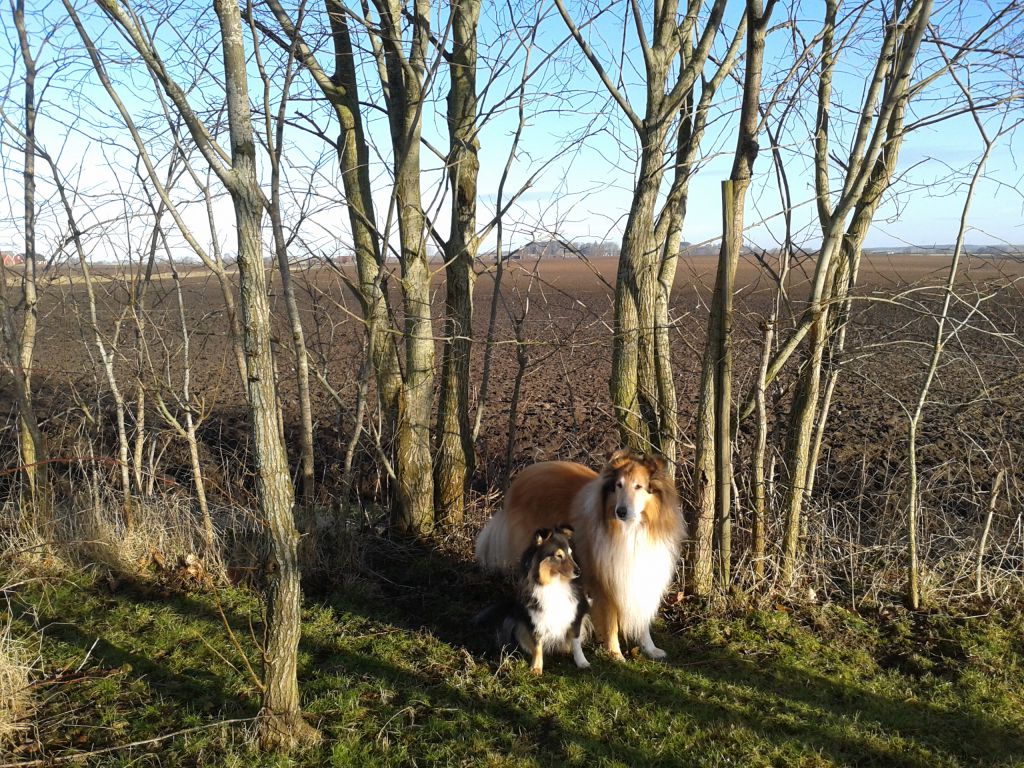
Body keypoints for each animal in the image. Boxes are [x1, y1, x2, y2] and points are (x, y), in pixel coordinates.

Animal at [475, 526, 591, 675]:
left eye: (570, 554)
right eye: (558, 556)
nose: (579, 572)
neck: (554, 582)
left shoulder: (575, 614)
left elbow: (576, 642)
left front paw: (582, 662)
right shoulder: (535, 618)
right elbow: (537, 645)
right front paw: (536, 668)